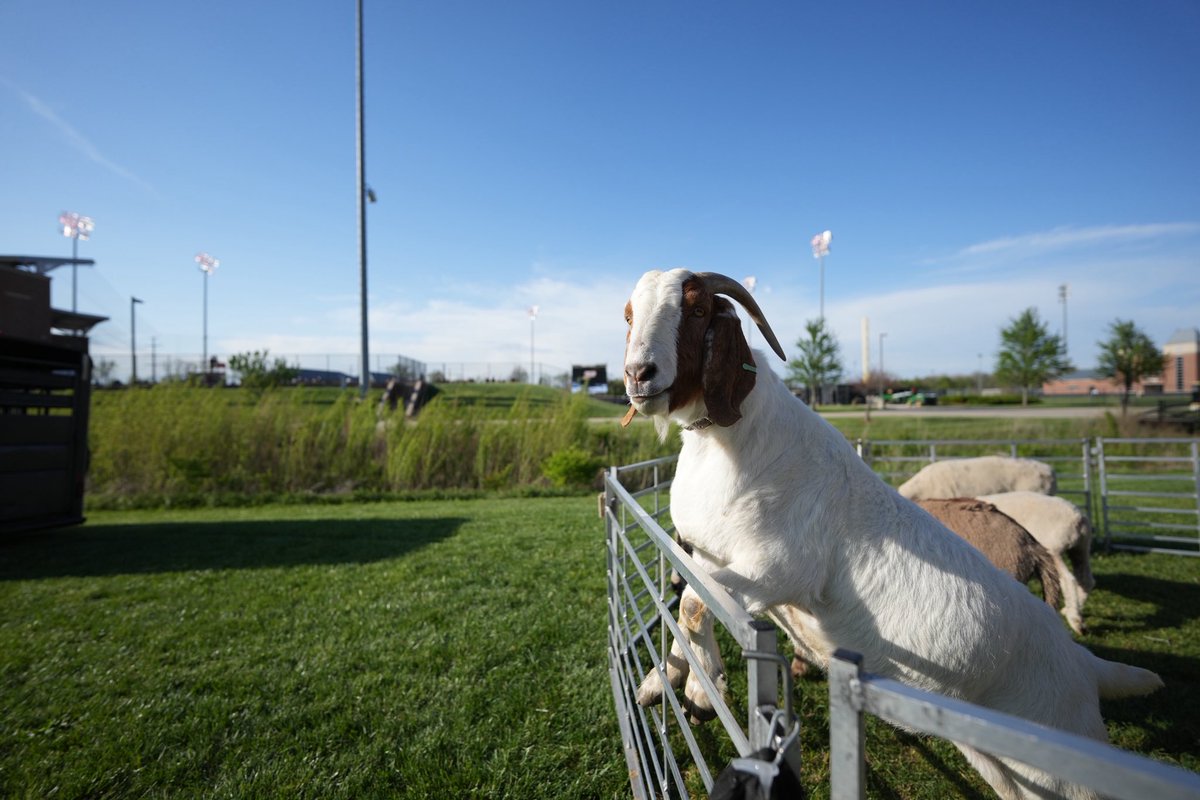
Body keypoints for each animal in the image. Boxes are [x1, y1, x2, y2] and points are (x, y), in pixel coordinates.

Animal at [978, 491, 1096, 635]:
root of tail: (1077, 518)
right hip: (1081, 547)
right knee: (1086, 580)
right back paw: (1072, 611)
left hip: (1053, 548)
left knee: (1068, 580)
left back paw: (1074, 619)